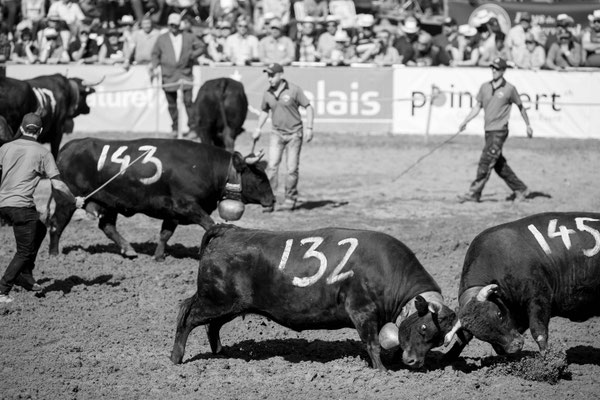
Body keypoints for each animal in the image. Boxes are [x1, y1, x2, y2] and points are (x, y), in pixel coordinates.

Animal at [49, 139, 274, 260]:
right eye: (259, 176)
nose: (272, 200)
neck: (207, 168)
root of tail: (69, 147)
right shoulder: (188, 206)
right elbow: (210, 224)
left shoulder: (172, 212)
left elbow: (165, 234)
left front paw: (158, 256)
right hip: (65, 201)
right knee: (55, 225)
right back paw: (53, 254)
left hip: (109, 204)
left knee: (107, 226)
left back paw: (128, 249)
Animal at [169, 223, 454, 370]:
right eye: (424, 327)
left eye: (439, 340)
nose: (415, 362)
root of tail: (228, 230)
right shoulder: (363, 312)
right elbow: (372, 344)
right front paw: (382, 370)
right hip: (215, 299)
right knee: (187, 314)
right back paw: (177, 357)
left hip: (227, 304)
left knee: (211, 325)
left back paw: (220, 352)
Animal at [446, 214, 600, 358]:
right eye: (482, 336)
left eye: (499, 314)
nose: (514, 346)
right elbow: (463, 338)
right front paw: (447, 358)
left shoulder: (539, 298)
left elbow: (538, 331)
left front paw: (546, 359)